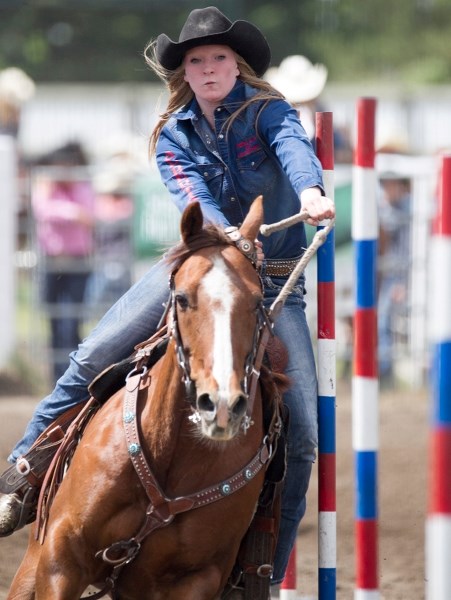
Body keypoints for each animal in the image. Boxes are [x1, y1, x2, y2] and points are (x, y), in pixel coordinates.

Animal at [7, 195, 286, 596]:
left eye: (257, 302)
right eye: (182, 298)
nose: (221, 406)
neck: (168, 453)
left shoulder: (199, 578)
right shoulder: (61, 556)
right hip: (32, 562)